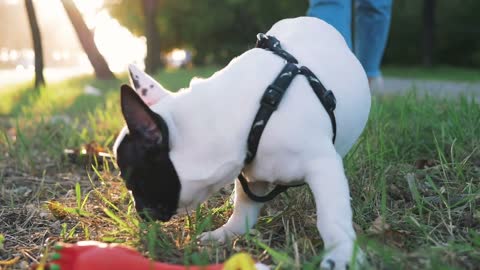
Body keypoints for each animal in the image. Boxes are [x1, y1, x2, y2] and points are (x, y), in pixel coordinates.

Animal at [113, 17, 372, 270]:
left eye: (132, 182)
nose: (138, 211)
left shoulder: (323, 166)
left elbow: (331, 217)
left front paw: (342, 254)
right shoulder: (251, 175)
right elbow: (243, 210)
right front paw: (225, 233)